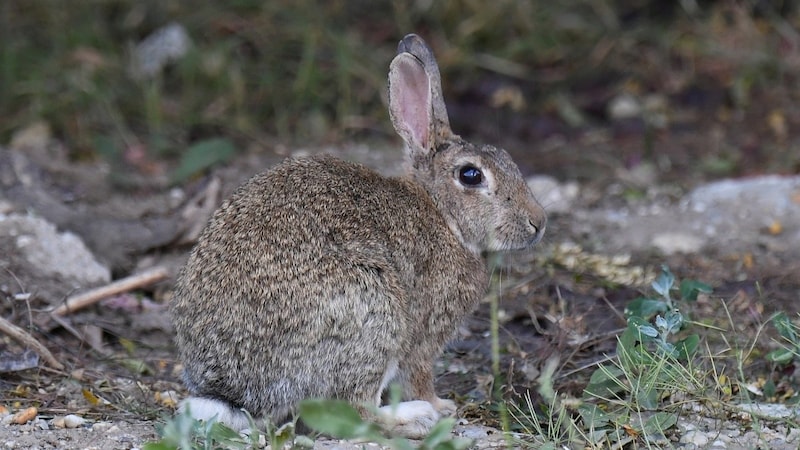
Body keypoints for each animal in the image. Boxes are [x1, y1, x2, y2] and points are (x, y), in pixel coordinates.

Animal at [171, 32, 548, 440]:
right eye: (471, 175)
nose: (538, 222)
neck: (440, 212)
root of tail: (232, 393)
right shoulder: (423, 334)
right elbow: (419, 376)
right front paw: (440, 405)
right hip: (375, 316)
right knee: (355, 408)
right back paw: (414, 418)